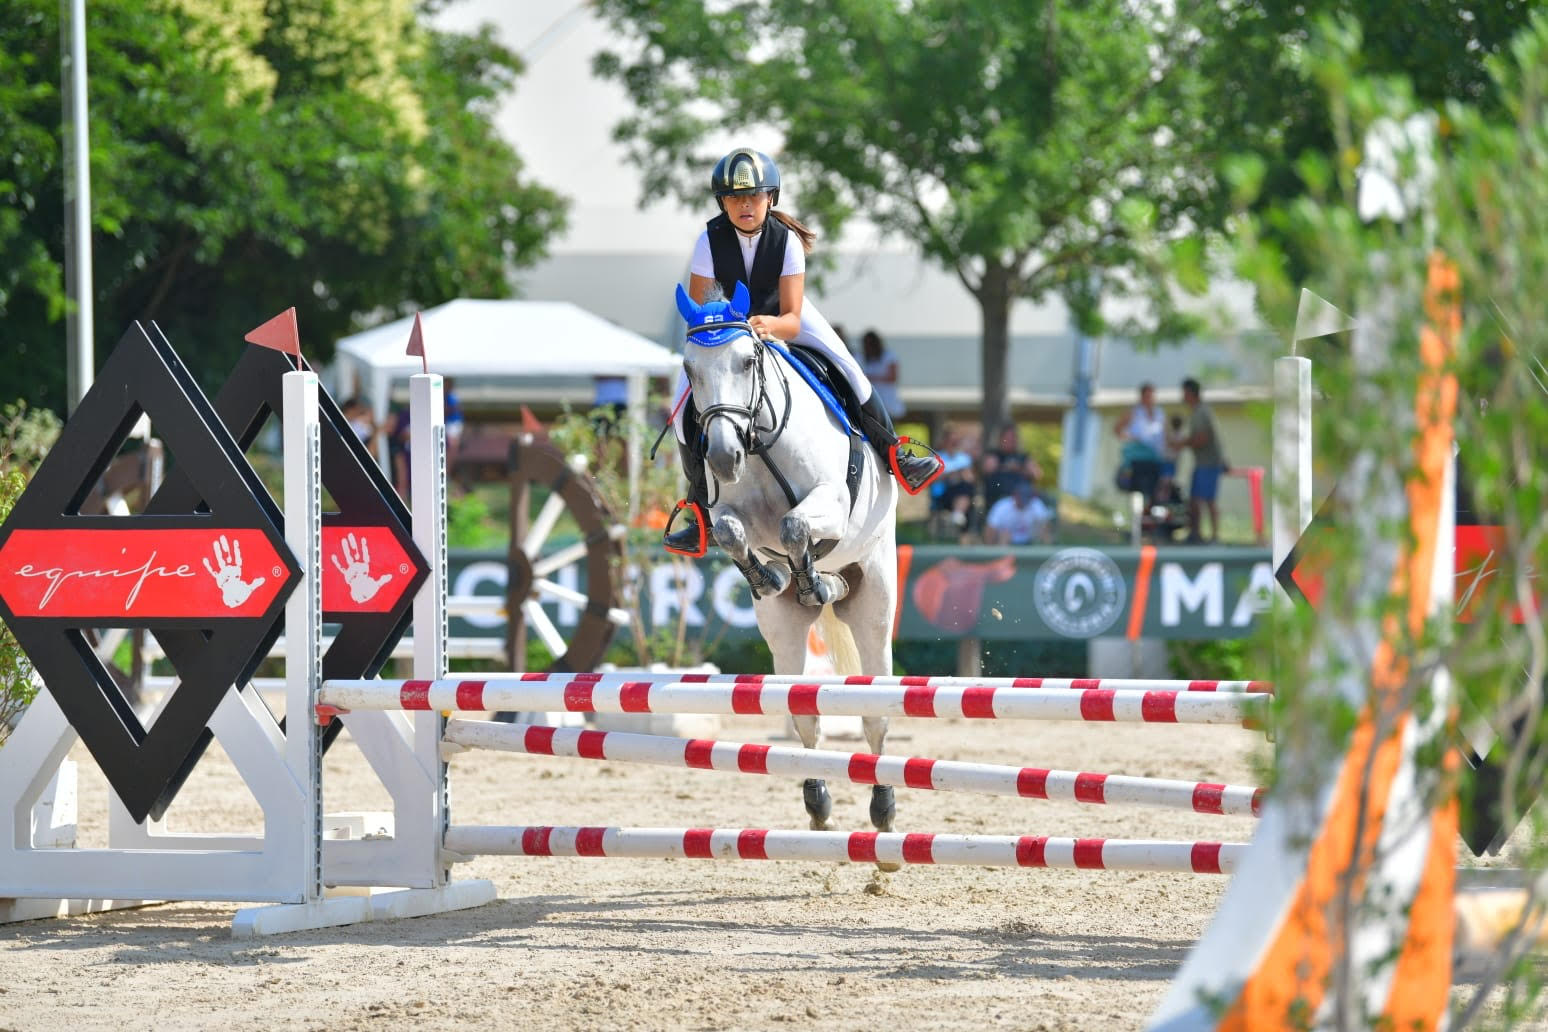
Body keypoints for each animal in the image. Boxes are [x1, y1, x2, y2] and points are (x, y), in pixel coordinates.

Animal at [673, 282, 901, 838]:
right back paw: (817, 803)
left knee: (875, 712)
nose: (723, 458)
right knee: (804, 714)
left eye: (746, 360)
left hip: (875, 599)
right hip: (783, 631)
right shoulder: (726, 512)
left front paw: (810, 579)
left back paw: (882, 808)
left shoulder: (832, 505)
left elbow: (795, 524)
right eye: (689, 369)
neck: (758, 442)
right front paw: (768, 576)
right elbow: (732, 530)